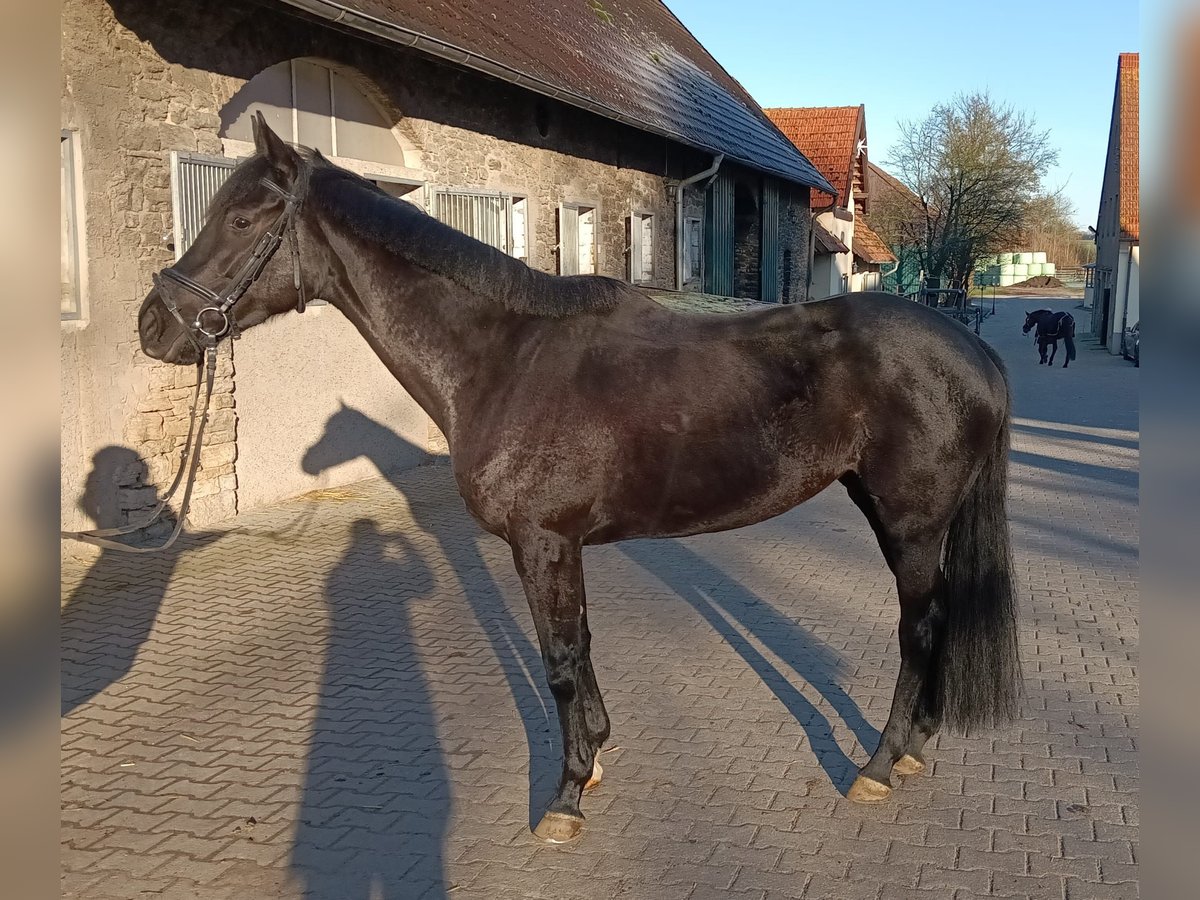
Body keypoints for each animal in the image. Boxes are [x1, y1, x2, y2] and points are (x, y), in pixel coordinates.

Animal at [138, 118, 1022, 844]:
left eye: (242, 220)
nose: (155, 327)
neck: (502, 358)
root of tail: (974, 353)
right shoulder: (563, 547)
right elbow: (580, 650)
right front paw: (594, 759)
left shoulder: (542, 542)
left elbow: (559, 661)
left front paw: (564, 799)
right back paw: (915, 748)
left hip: (909, 522)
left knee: (919, 629)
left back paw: (876, 765)